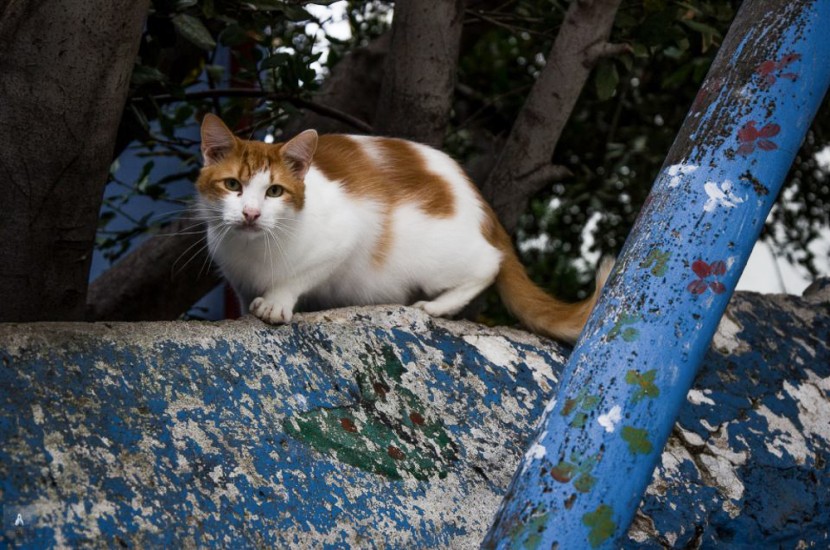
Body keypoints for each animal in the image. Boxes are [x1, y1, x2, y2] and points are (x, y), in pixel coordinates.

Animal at [195, 113, 612, 342]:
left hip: (435, 256)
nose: (250, 214)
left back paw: (438, 306)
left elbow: (300, 276)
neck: (251, 249)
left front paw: (277, 302)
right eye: (232, 185)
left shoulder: (345, 234)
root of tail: (483, 207)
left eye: (275, 191)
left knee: (489, 263)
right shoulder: (236, 279)